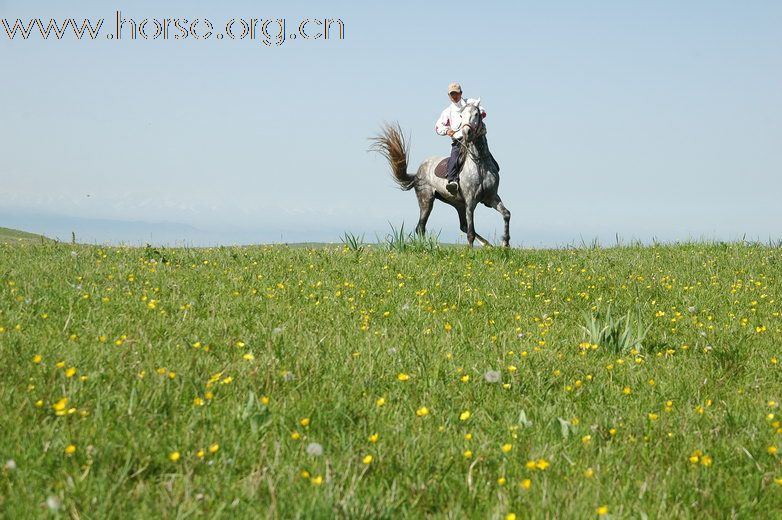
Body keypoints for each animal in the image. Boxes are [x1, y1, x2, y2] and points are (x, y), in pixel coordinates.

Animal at [370, 103, 512, 248]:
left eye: (476, 114)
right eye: (461, 116)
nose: (466, 132)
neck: (479, 162)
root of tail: (417, 173)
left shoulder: (491, 197)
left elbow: (506, 214)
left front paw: (505, 243)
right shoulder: (470, 201)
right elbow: (471, 231)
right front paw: (470, 250)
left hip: (457, 204)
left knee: (462, 226)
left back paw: (488, 244)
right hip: (426, 200)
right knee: (421, 227)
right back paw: (426, 247)